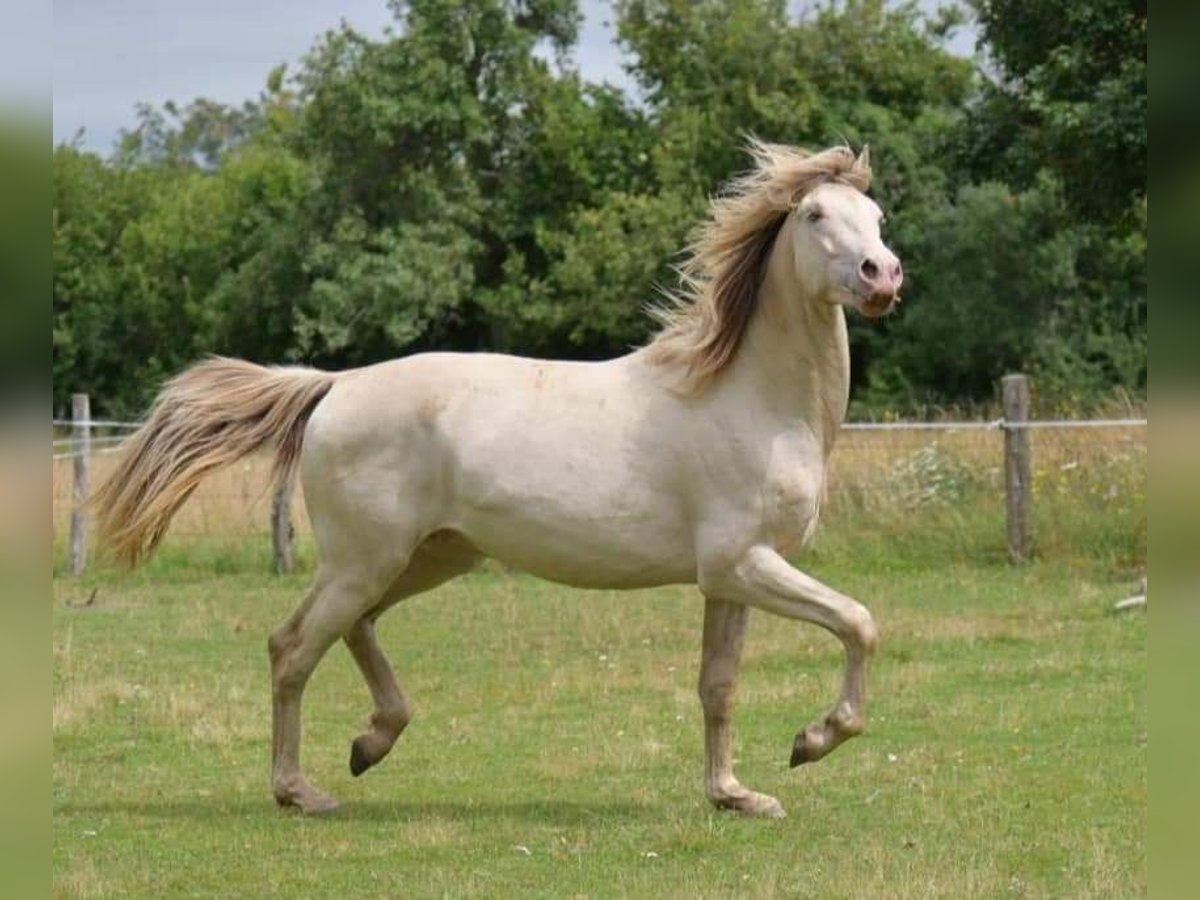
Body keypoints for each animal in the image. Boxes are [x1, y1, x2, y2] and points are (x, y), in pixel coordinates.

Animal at [93, 139, 902, 816]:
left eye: (877, 218)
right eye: (814, 215)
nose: (882, 275)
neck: (750, 400)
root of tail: (335, 386)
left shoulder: (728, 578)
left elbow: (719, 685)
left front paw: (735, 796)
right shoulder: (743, 564)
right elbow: (859, 622)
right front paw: (813, 741)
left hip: (428, 557)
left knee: (351, 628)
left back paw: (371, 742)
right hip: (367, 560)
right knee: (292, 648)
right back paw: (302, 791)